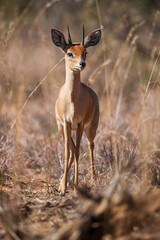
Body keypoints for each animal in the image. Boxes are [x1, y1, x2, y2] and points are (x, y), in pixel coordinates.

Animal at [51, 25, 101, 196]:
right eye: (69, 53)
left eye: (85, 52)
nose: (82, 64)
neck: (72, 100)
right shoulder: (67, 123)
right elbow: (68, 152)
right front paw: (64, 188)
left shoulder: (79, 124)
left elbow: (79, 152)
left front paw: (75, 186)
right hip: (61, 129)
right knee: (72, 149)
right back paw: (61, 185)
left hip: (90, 128)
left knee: (91, 146)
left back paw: (93, 179)